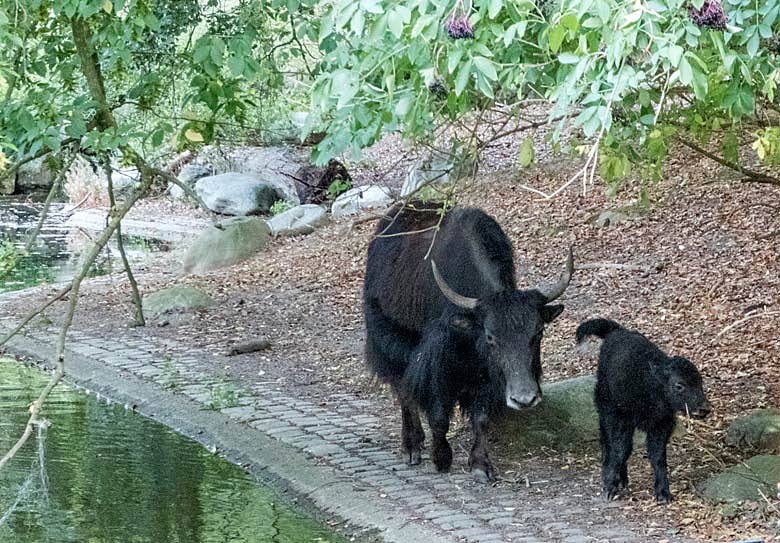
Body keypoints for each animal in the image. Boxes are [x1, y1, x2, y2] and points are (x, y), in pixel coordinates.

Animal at [576, 320, 708, 504]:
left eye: (700, 383)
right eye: (679, 385)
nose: (704, 409)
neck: (650, 382)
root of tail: (616, 331)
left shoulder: (660, 425)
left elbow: (658, 457)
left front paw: (663, 493)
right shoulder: (620, 419)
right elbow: (620, 449)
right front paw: (610, 487)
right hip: (605, 409)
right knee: (606, 441)